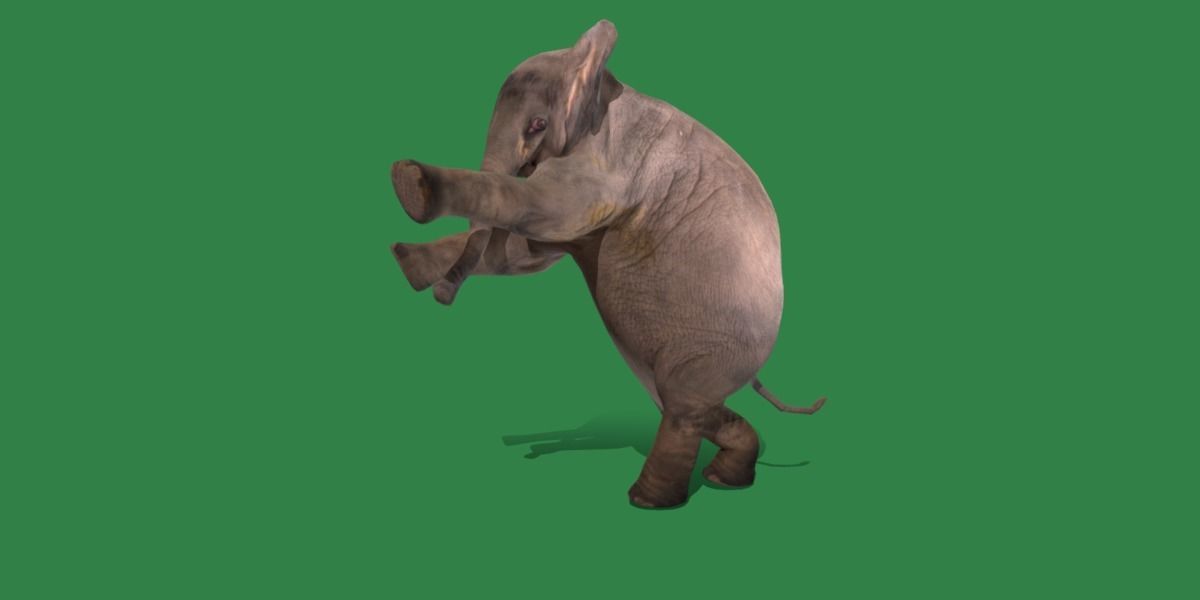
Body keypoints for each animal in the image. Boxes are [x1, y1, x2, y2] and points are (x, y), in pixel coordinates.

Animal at [390, 20, 825, 508]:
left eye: (538, 124)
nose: (444, 295)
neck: (595, 79)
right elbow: (525, 253)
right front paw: (406, 259)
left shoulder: (610, 165)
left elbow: (539, 211)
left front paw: (412, 184)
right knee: (683, 401)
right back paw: (724, 477)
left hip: (722, 340)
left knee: (681, 403)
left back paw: (649, 500)